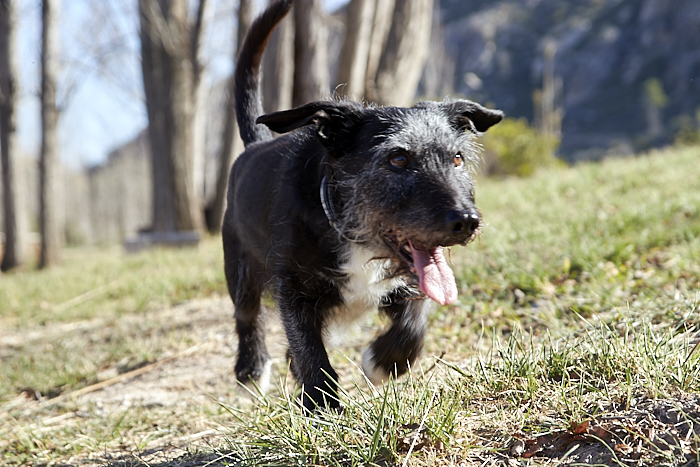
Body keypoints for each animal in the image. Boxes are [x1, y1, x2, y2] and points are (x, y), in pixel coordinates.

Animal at [224, 0, 504, 412]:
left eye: (456, 159)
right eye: (398, 159)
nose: (467, 221)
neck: (351, 234)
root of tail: (255, 144)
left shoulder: (410, 284)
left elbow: (413, 325)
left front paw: (383, 363)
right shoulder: (293, 291)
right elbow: (309, 349)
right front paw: (323, 406)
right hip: (240, 269)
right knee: (248, 319)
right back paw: (252, 371)